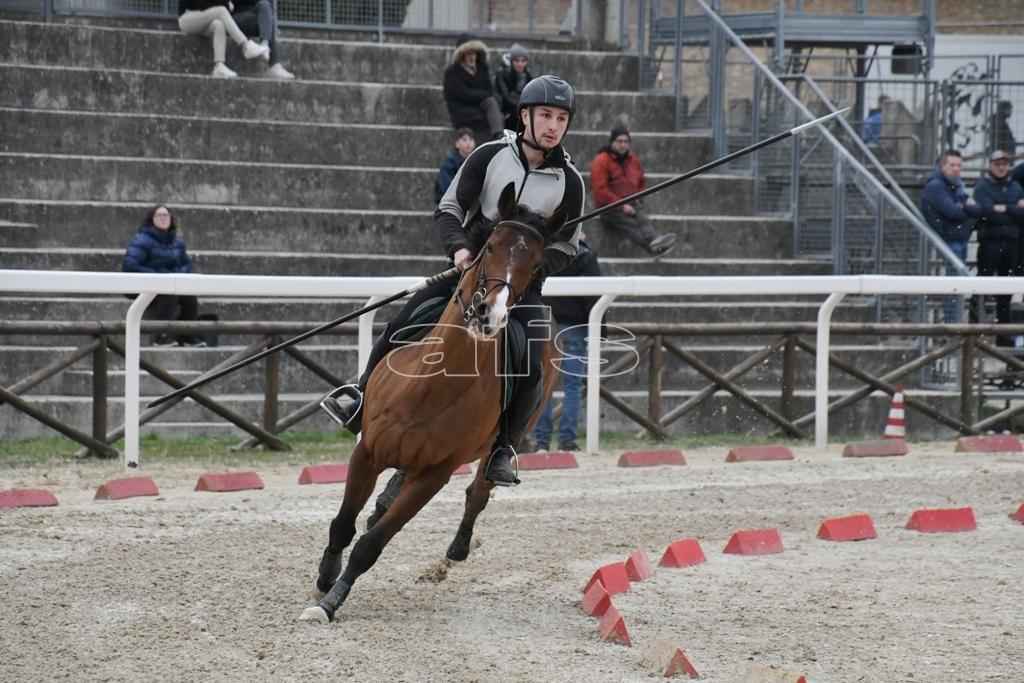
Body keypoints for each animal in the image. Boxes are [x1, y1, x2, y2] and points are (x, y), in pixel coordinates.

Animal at [300, 183, 569, 624]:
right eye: (489, 246)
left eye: (535, 263)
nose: (489, 315)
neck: (432, 386)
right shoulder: (367, 451)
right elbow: (343, 525)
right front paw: (325, 578)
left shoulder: (434, 475)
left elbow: (370, 546)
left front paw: (329, 604)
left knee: (477, 493)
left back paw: (456, 548)